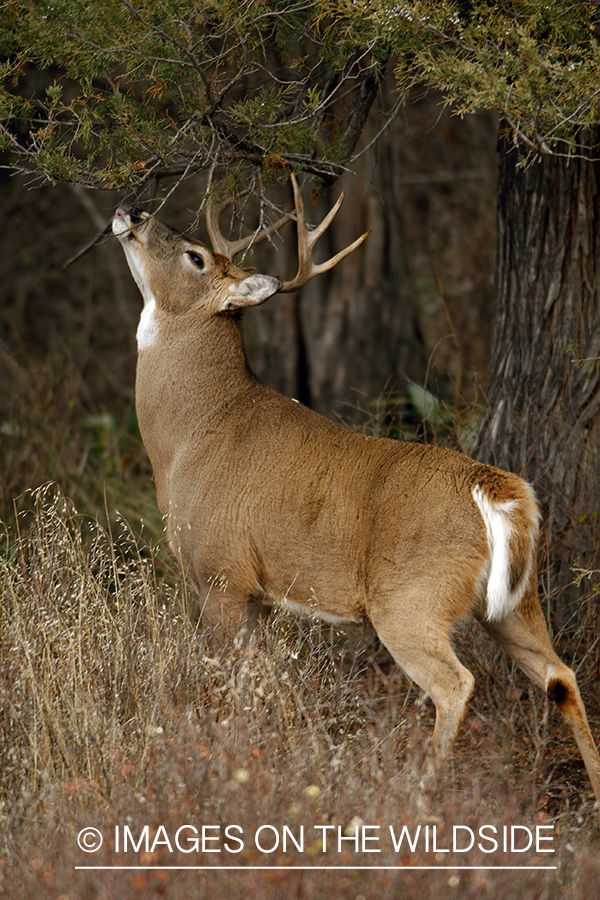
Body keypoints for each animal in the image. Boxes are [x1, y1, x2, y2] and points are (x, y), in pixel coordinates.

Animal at [112, 174, 600, 824]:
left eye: (194, 256)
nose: (132, 209)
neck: (192, 436)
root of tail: (496, 490)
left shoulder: (220, 572)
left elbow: (217, 683)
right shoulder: (258, 593)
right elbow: (251, 685)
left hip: (409, 599)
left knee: (457, 684)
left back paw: (416, 797)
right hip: (513, 604)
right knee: (561, 674)